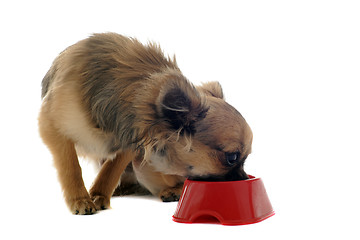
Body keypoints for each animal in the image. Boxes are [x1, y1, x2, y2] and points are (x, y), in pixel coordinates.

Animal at [38, 32, 253, 215]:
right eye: (232, 157)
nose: (245, 179)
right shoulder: (52, 127)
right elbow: (71, 166)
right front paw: (80, 199)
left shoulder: (131, 141)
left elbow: (111, 169)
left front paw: (99, 194)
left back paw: (173, 190)